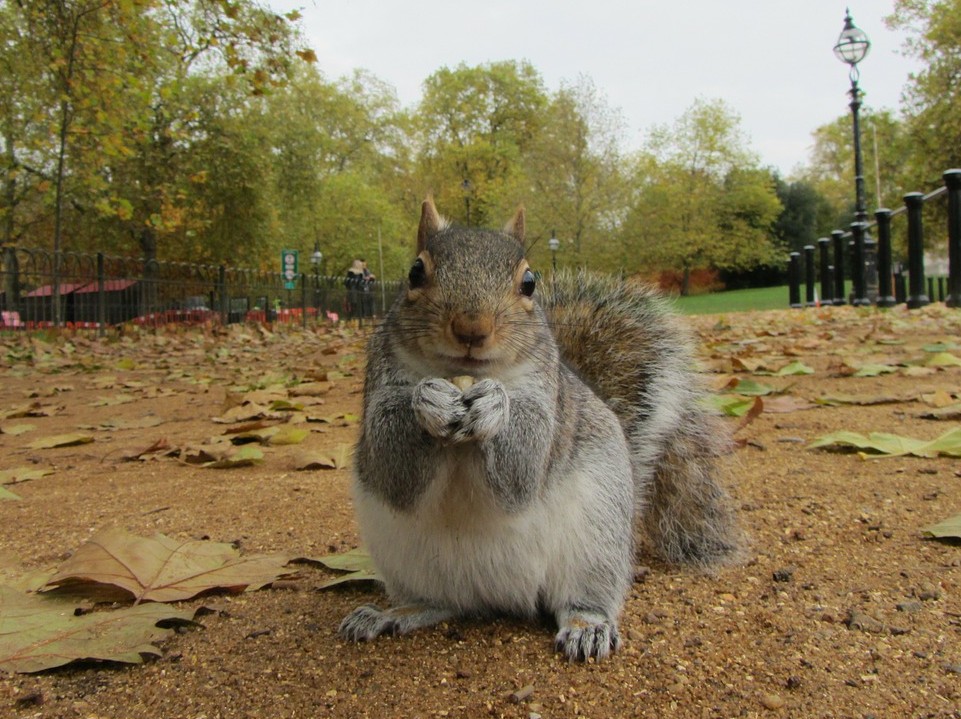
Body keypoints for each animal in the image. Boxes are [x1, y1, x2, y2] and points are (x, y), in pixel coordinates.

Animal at [338, 200, 744, 660]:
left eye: (529, 283)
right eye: (415, 272)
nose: (471, 328)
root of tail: (498, 596)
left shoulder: (546, 400)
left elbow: (524, 468)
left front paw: (496, 405)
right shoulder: (380, 384)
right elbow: (393, 468)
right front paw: (429, 400)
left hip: (597, 541)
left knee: (582, 597)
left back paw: (588, 625)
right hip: (404, 559)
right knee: (439, 602)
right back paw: (392, 614)